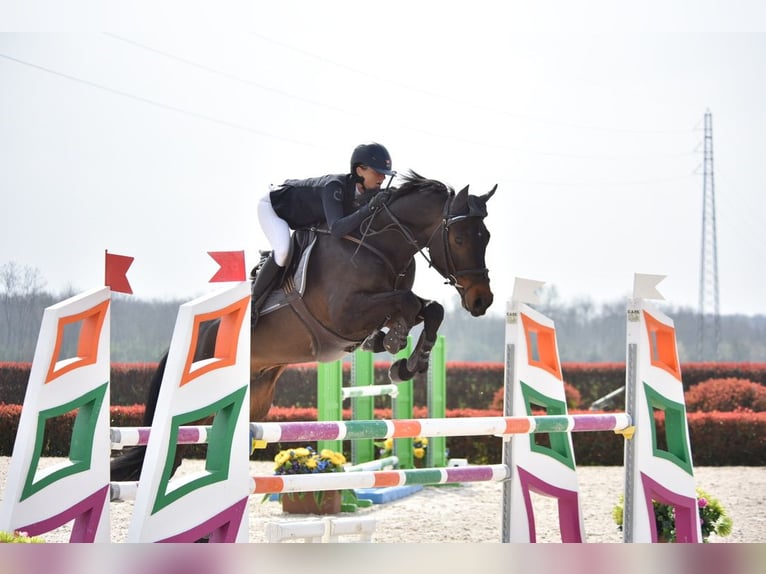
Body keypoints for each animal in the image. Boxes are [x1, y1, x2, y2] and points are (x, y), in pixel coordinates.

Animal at [112, 171, 498, 482]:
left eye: (486, 237)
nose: (482, 300)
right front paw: (400, 351)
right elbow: (407, 303)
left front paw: (408, 361)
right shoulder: (346, 313)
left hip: (257, 397)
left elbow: (430, 309)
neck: (377, 244)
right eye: (460, 238)